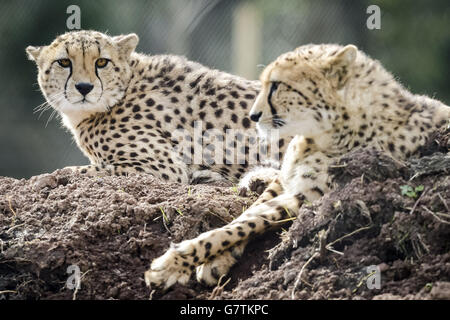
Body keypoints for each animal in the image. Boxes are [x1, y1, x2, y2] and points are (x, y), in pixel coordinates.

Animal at [26, 31, 284, 184]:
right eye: (63, 62)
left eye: (101, 62)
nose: (84, 87)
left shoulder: (163, 168)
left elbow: (80, 170)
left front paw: (47, 178)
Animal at [146, 43, 448, 290]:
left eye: (277, 85)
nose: (253, 115)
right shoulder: (282, 180)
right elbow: (245, 215)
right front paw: (214, 260)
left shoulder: (308, 197)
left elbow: (245, 224)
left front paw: (172, 265)